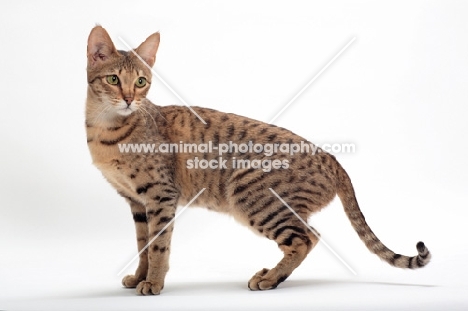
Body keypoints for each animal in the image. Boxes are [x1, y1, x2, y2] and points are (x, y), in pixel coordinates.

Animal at [85, 26, 432, 294]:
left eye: (141, 82)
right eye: (113, 79)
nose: (129, 98)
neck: (107, 130)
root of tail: (332, 157)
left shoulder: (160, 195)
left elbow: (158, 246)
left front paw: (154, 284)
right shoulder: (136, 201)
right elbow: (142, 245)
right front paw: (139, 278)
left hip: (252, 197)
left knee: (306, 238)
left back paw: (270, 279)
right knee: (311, 235)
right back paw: (273, 275)